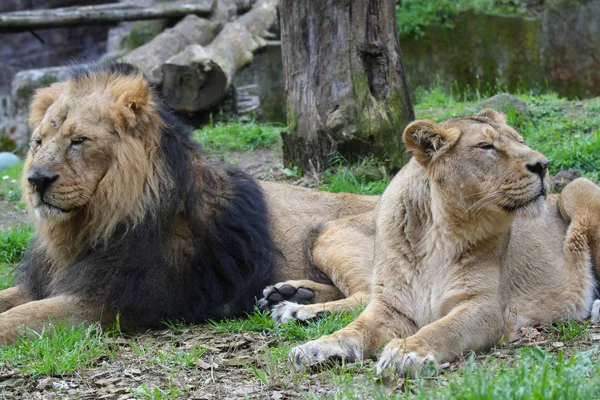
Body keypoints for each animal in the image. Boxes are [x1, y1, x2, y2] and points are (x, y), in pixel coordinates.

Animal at [0, 63, 378, 344]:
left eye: (78, 141)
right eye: (38, 142)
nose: (36, 180)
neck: (83, 228)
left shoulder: (105, 300)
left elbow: (18, 317)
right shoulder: (47, 282)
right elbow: (8, 299)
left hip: (331, 234)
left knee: (373, 296)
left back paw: (298, 310)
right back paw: (292, 293)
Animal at [284, 108, 600, 376]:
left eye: (520, 141)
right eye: (486, 147)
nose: (543, 165)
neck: (438, 234)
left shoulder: (485, 307)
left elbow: (442, 330)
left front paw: (405, 352)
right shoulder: (392, 306)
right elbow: (355, 329)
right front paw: (317, 347)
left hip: (576, 188)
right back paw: (294, 307)